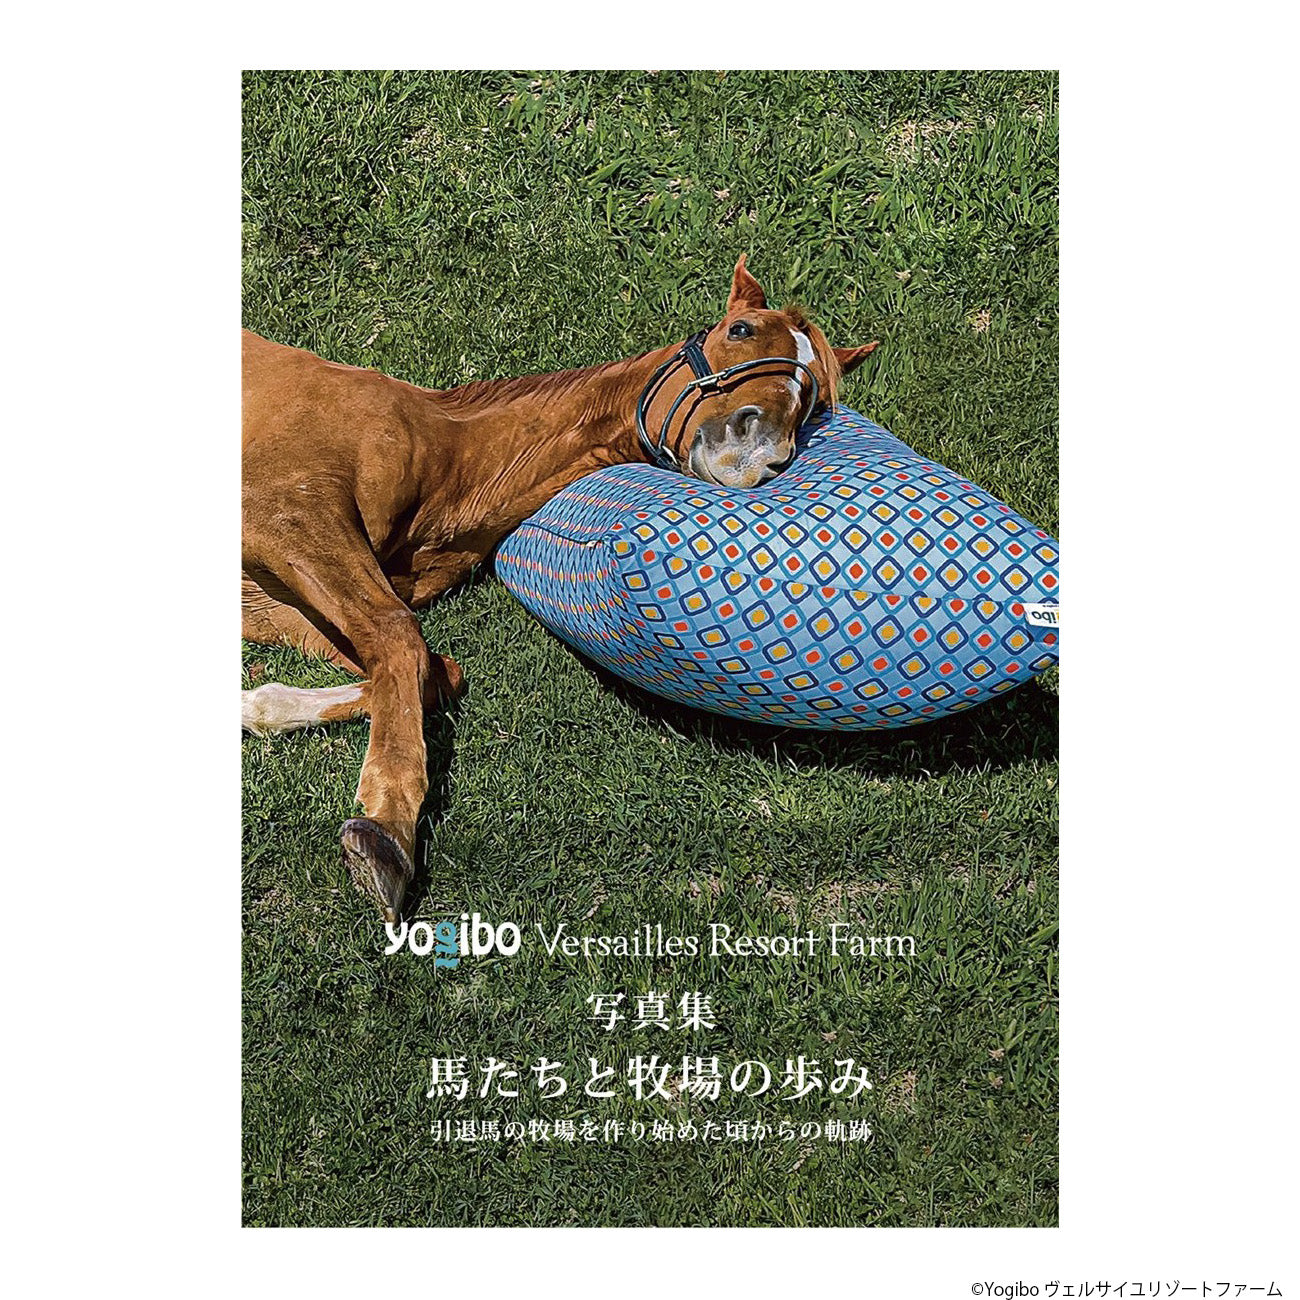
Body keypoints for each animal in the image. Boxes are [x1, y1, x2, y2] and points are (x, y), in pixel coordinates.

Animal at [242, 255, 878, 921]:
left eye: (811, 399)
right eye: (742, 330)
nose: (761, 451)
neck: (444, 456)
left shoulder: (278, 604)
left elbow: (432, 672)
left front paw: (256, 707)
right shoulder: (286, 519)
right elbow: (402, 640)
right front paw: (386, 831)